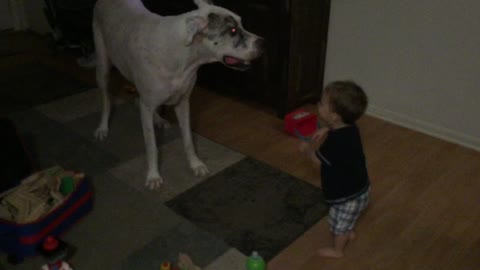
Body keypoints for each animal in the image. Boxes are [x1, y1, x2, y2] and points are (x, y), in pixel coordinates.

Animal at [92, 0, 264, 189]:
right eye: (232, 30)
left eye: (241, 23)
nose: (263, 42)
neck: (184, 56)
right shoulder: (147, 107)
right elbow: (151, 146)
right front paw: (153, 175)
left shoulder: (183, 102)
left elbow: (188, 139)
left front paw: (195, 164)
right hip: (102, 66)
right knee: (106, 99)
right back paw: (102, 127)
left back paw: (159, 119)